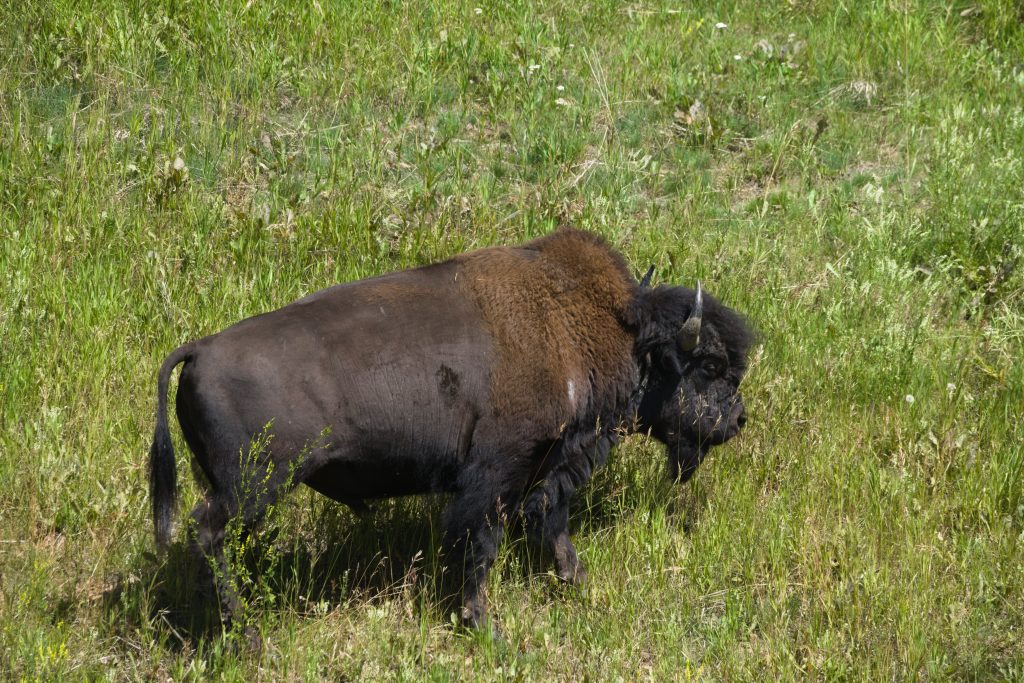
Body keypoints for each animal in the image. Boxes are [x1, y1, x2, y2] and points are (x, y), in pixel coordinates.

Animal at [149, 228, 752, 633]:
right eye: (711, 365)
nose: (738, 419)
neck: (579, 327)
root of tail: (198, 349)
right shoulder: (496, 473)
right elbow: (479, 541)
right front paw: (481, 623)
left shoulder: (547, 464)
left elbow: (551, 519)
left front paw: (572, 579)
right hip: (252, 484)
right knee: (207, 533)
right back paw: (242, 631)